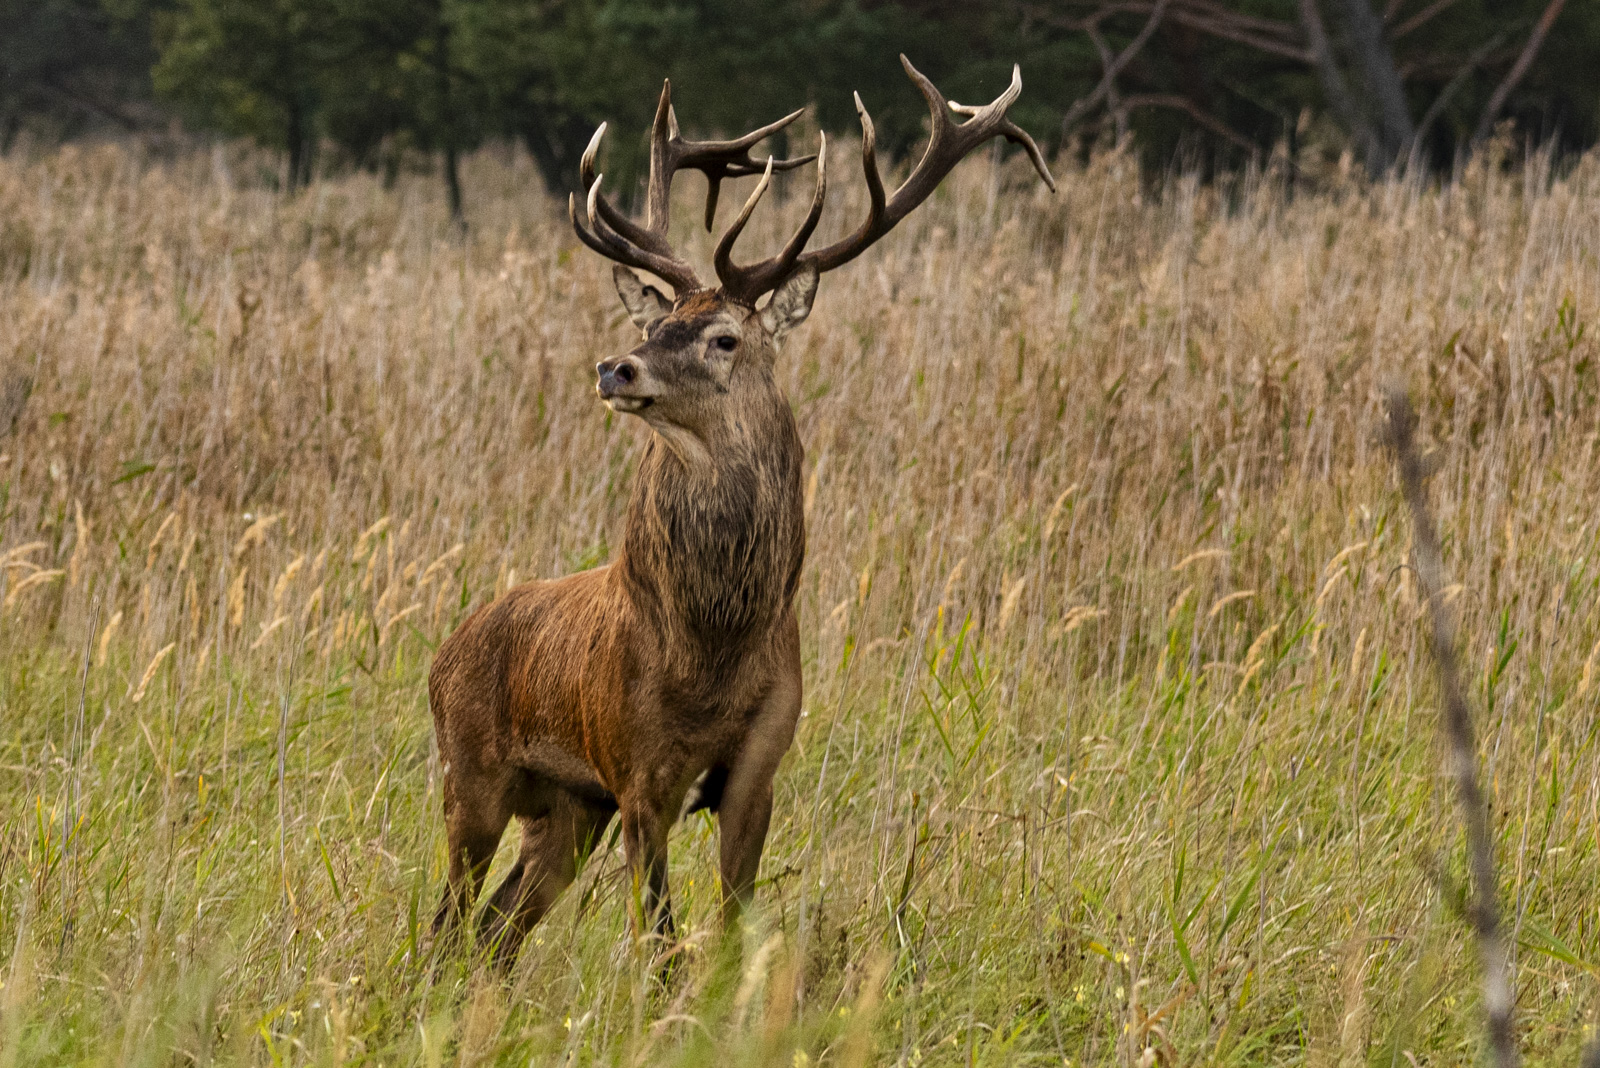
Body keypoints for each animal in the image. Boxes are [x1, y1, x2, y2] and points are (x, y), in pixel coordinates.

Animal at [428, 54, 1049, 965]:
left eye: (723, 336)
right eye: (655, 325)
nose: (616, 367)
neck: (712, 651)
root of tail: (445, 650)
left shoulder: (759, 766)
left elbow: (731, 928)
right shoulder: (637, 771)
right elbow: (658, 942)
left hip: (568, 807)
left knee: (494, 930)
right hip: (471, 771)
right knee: (447, 925)